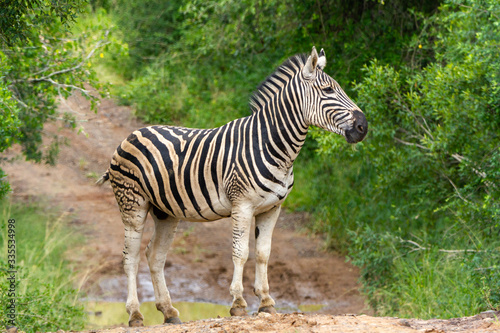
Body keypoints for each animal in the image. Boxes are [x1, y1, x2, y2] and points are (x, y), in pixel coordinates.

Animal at [96, 45, 368, 326]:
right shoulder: (242, 205)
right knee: (130, 258)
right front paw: (238, 303)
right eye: (328, 91)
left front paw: (266, 302)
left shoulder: (272, 209)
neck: (272, 146)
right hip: (132, 204)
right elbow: (241, 252)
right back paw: (135, 314)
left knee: (155, 255)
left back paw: (168, 311)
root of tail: (132, 134)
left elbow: (263, 253)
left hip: (165, 212)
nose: (363, 126)